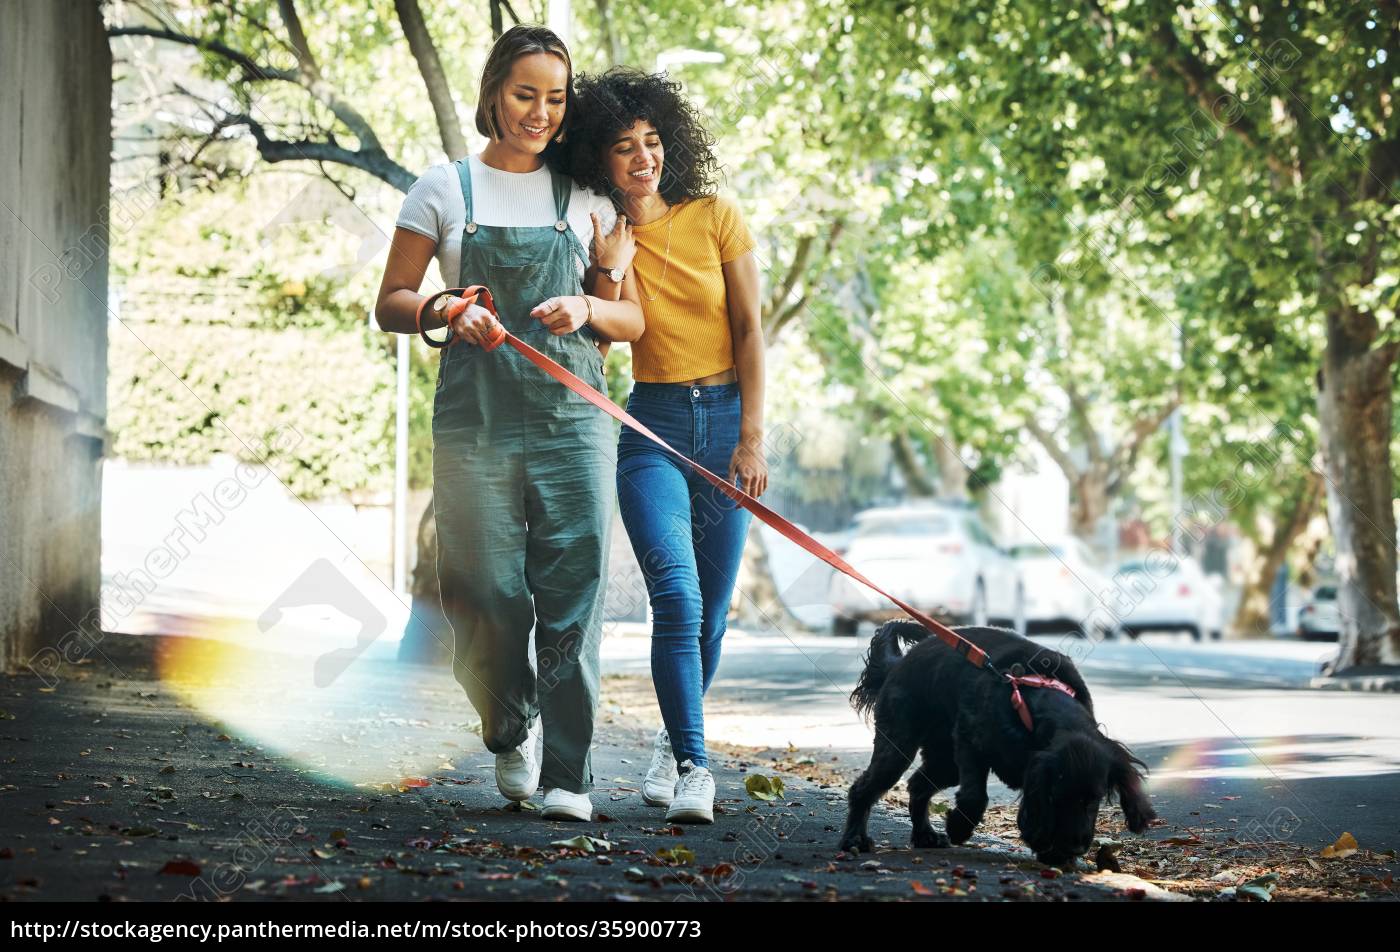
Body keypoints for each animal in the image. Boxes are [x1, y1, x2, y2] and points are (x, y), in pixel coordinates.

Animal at [840, 621, 1148, 868]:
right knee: (863, 789)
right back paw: (854, 839)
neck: (1030, 698)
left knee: (917, 785)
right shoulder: (970, 742)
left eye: (1093, 800)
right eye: (1055, 797)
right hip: (899, 747)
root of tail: (897, 664)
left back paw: (925, 835)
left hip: (945, 762)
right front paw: (959, 827)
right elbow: (976, 797)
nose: (1076, 846)